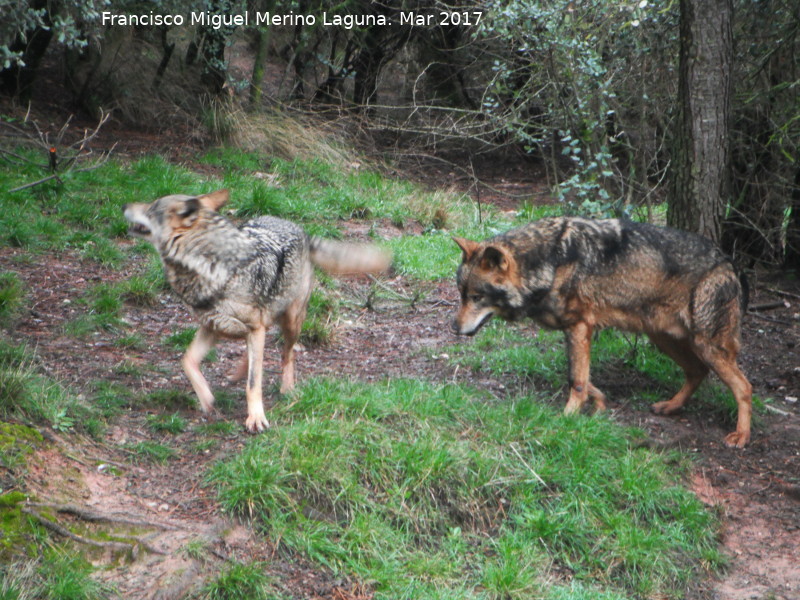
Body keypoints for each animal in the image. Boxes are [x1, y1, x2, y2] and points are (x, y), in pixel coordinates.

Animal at [123, 189, 390, 432]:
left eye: (151, 207)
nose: (125, 205)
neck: (211, 268)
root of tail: (302, 230)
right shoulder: (212, 326)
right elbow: (187, 361)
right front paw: (207, 399)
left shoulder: (249, 328)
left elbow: (254, 384)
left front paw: (256, 419)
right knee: (254, 352)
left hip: (291, 322)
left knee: (286, 354)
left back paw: (287, 388)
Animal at [452, 217, 752, 448]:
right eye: (461, 294)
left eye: (477, 297)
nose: (455, 328)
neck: (549, 262)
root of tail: (729, 262)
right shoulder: (577, 332)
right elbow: (582, 377)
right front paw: (599, 404)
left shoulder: (579, 327)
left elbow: (576, 380)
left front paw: (568, 417)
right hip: (663, 339)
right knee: (697, 371)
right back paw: (670, 406)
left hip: (706, 346)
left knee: (744, 386)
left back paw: (741, 436)